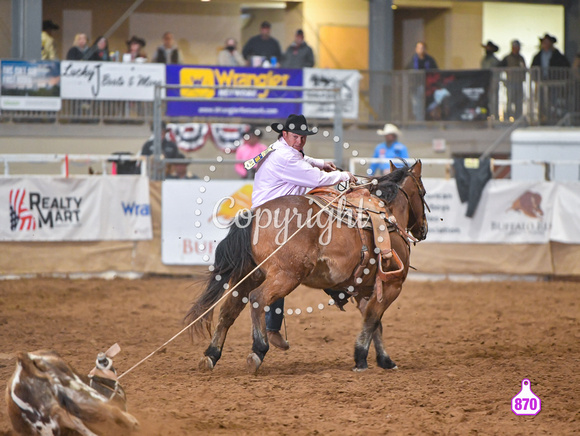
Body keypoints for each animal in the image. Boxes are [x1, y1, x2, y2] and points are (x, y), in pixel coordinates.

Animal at [186, 162, 426, 372]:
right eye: (422, 193)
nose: (423, 230)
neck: (388, 217)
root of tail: (253, 215)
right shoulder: (392, 285)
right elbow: (373, 319)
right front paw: (364, 359)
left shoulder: (363, 290)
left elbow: (375, 323)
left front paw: (380, 359)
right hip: (286, 276)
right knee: (257, 299)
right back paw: (258, 350)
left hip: (251, 275)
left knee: (229, 309)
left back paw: (211, 355)